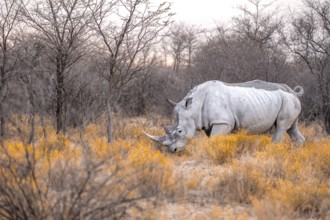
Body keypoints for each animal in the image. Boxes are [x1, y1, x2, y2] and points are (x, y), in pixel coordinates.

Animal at [146, 80, 306, 152]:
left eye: (179, 131)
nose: (172, 150)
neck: (194, 106)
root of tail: (293, 92)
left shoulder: (222, 122)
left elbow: (214, 138)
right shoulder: (210, 123)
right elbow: (212, 138)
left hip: (287, 101)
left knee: (281, 128)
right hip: (290, 102)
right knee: (292, 128)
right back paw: (297, 151)